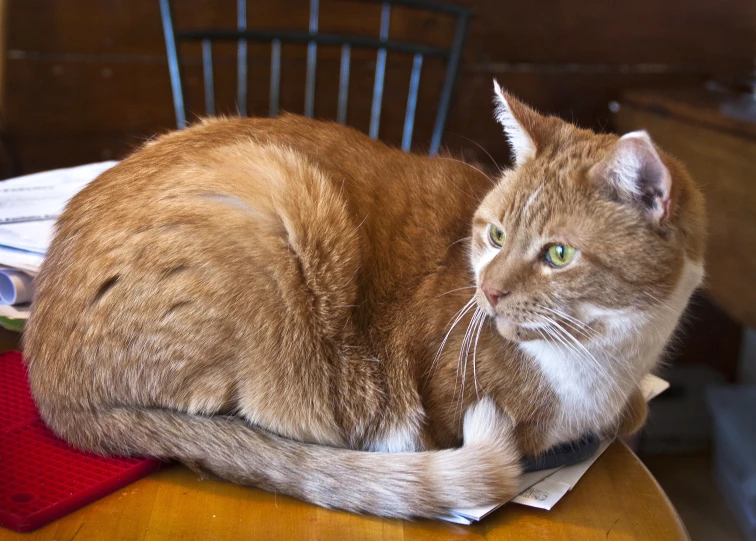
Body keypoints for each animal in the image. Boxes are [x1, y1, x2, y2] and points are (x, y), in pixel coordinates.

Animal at [25, 83, 708, 516]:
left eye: (558, 255)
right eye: (495, 236)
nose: (488, 291)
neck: (607, 358)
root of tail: (49, 387)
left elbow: (632, 415)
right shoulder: (451, 403)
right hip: (277, 204)